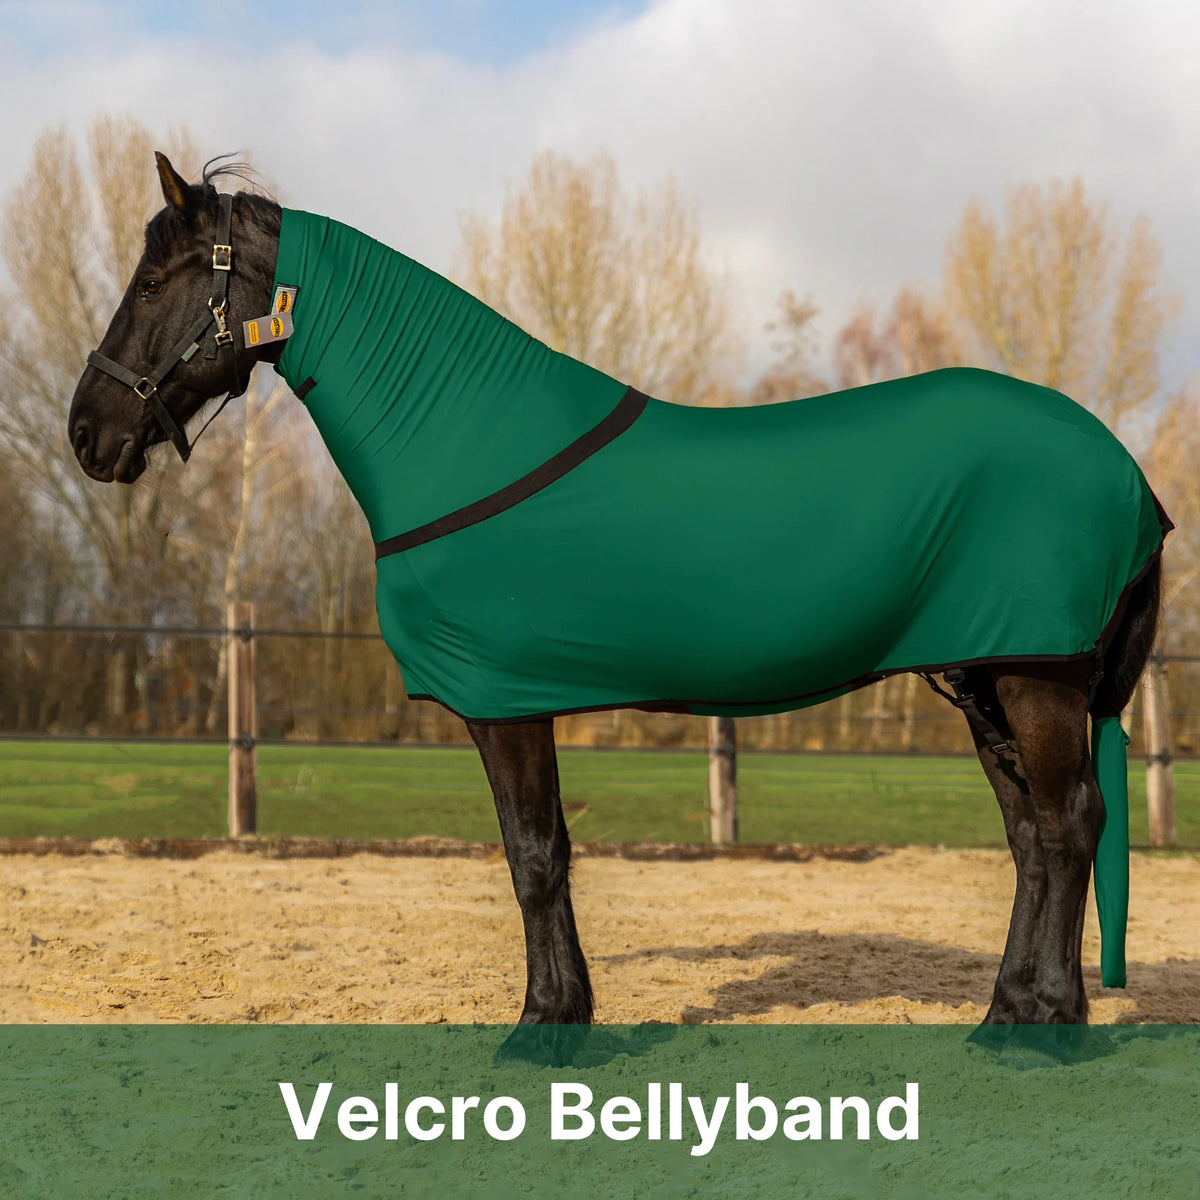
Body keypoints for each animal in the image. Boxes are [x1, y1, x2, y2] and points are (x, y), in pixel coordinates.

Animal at [67, 154, 1168, 1045]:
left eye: (158, 279)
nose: (86, 431)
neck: (467, 442)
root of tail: (1126, 470)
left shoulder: (504, 699)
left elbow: (533, 855)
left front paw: (545, 1025)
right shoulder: (520, 697)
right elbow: (543, 852)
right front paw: (566, 1012)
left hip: (1036, 677)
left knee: (1070, 822)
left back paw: (1049, 1023)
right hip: (987, 677)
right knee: (1029, 837)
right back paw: (1003, 1013)